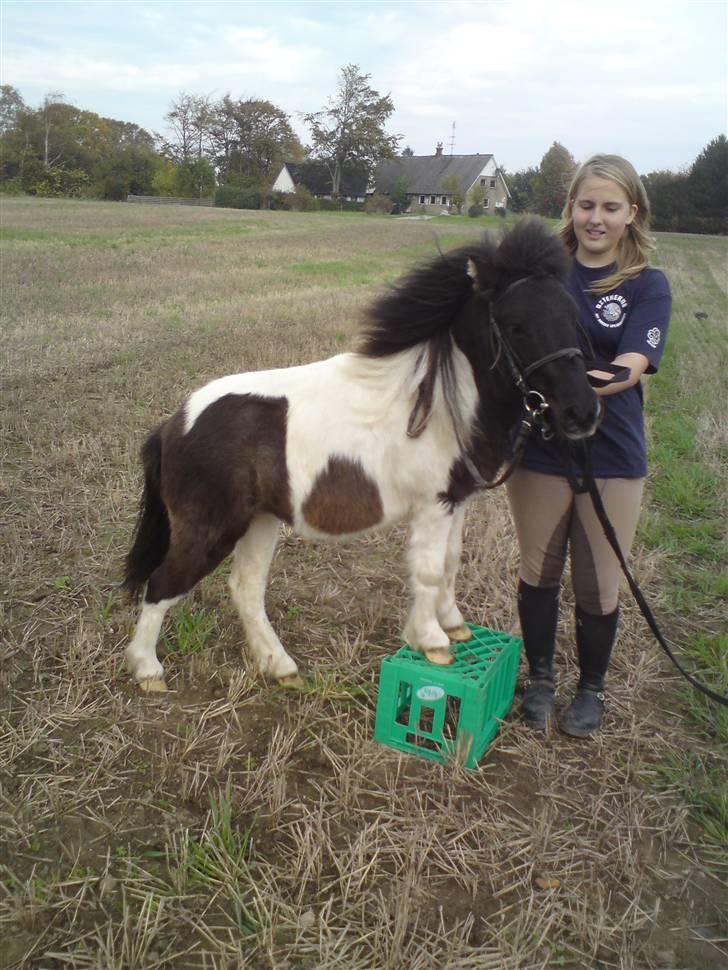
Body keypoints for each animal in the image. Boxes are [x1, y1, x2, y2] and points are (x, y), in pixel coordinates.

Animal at [123, 219, 596, 688]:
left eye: (572, 317)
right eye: (516, 324)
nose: (582, 412)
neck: (437, 405)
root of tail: (174, 425)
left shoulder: (457, 501)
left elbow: (450, 563)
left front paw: (454, 624)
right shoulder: (434, 506)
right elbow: (428, 571)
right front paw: (433, 641)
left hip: (259, 521)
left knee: (246, 589)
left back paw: (280, 666)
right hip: (211, 529)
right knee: (162, 584)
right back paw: (148, 671)